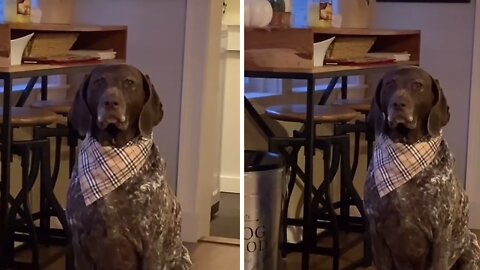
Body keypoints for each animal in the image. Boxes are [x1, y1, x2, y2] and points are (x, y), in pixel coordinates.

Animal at [364, 66, 480, 270]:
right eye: (390, 84)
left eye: (417, 85)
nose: (398, 103)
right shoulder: (376, 232)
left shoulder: (441, 235)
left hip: (471, 249)